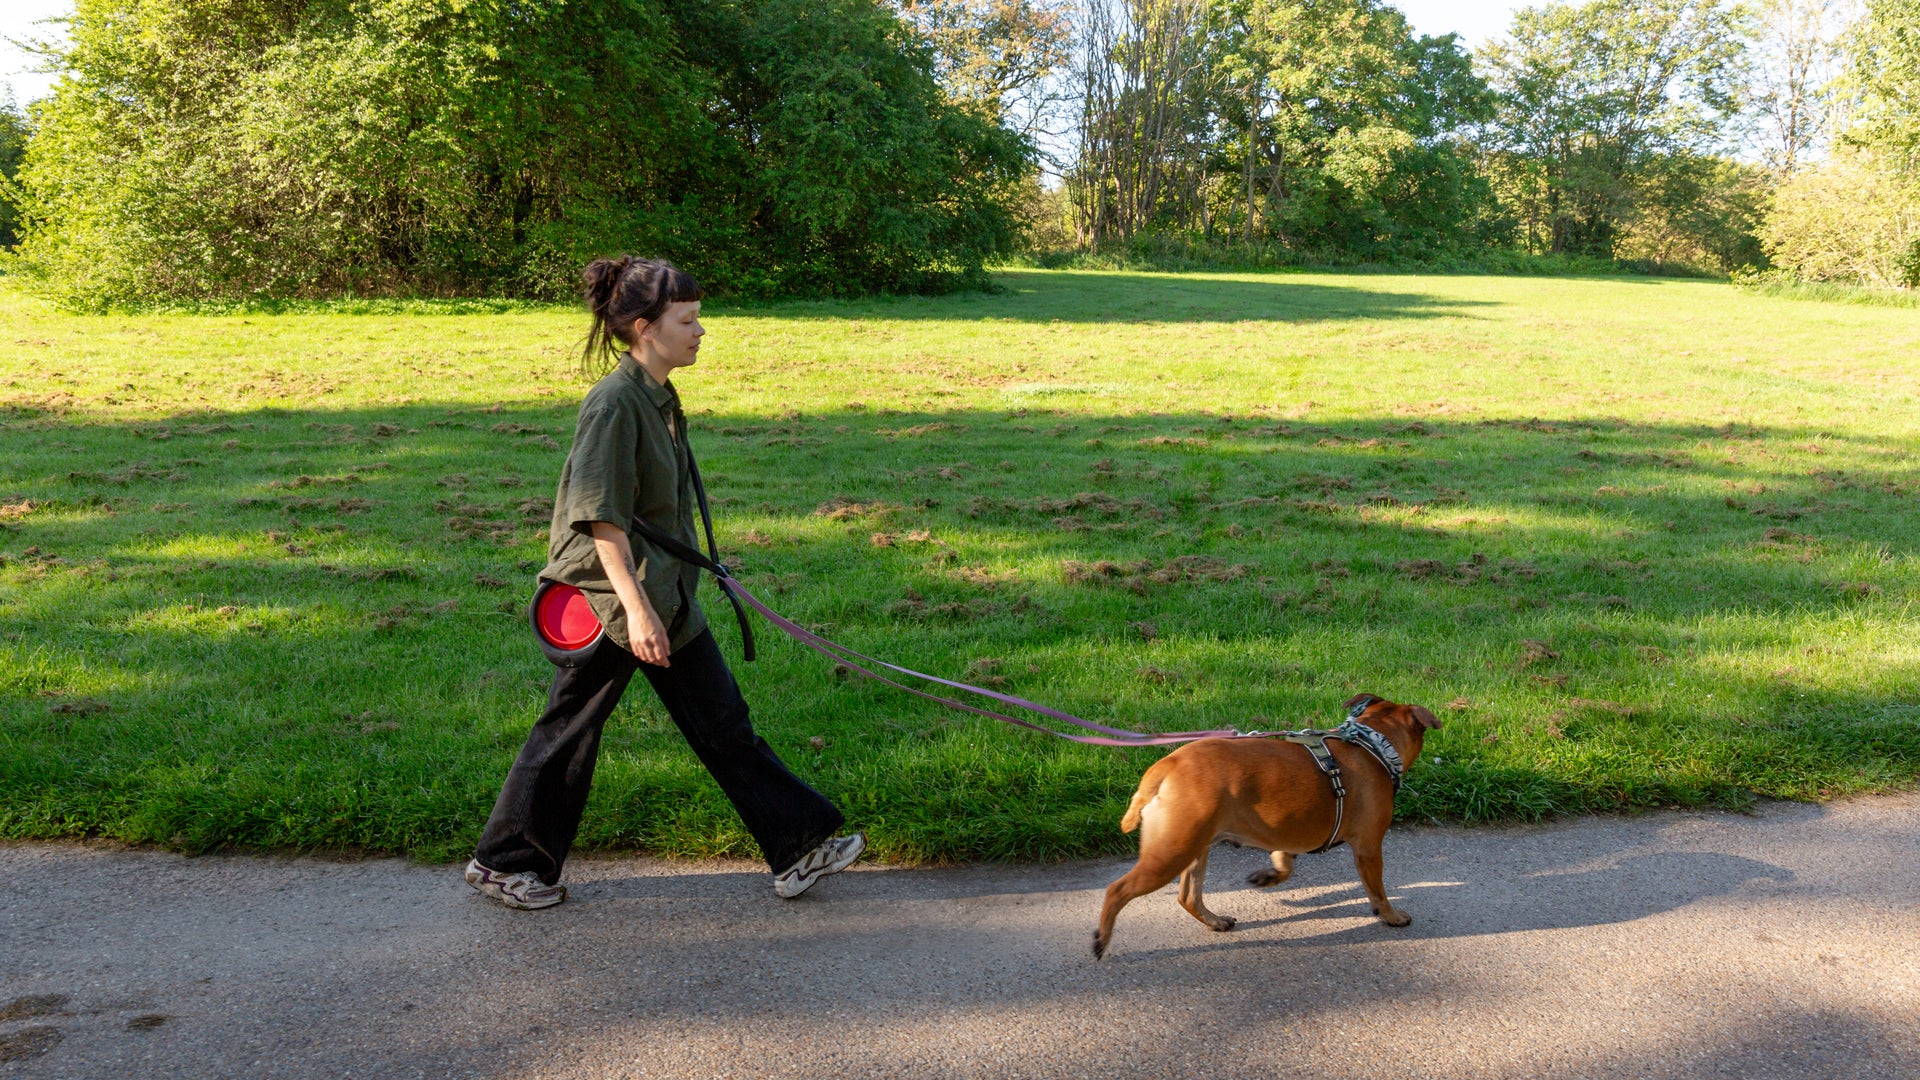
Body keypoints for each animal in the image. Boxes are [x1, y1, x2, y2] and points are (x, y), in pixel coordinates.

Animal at [1098, 691, 1443, 953]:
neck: (1371, 743)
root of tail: (1168, 764)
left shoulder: (1285, 835)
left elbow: (1284, 863)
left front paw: (1269, 876)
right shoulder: (1369, 848)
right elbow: (1378, 890)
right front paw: (1391, 915)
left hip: (1194, 848)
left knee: (1188, 896)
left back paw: (1215, 920)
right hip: (1170, 854)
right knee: (1117, 890)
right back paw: (1101, 940)